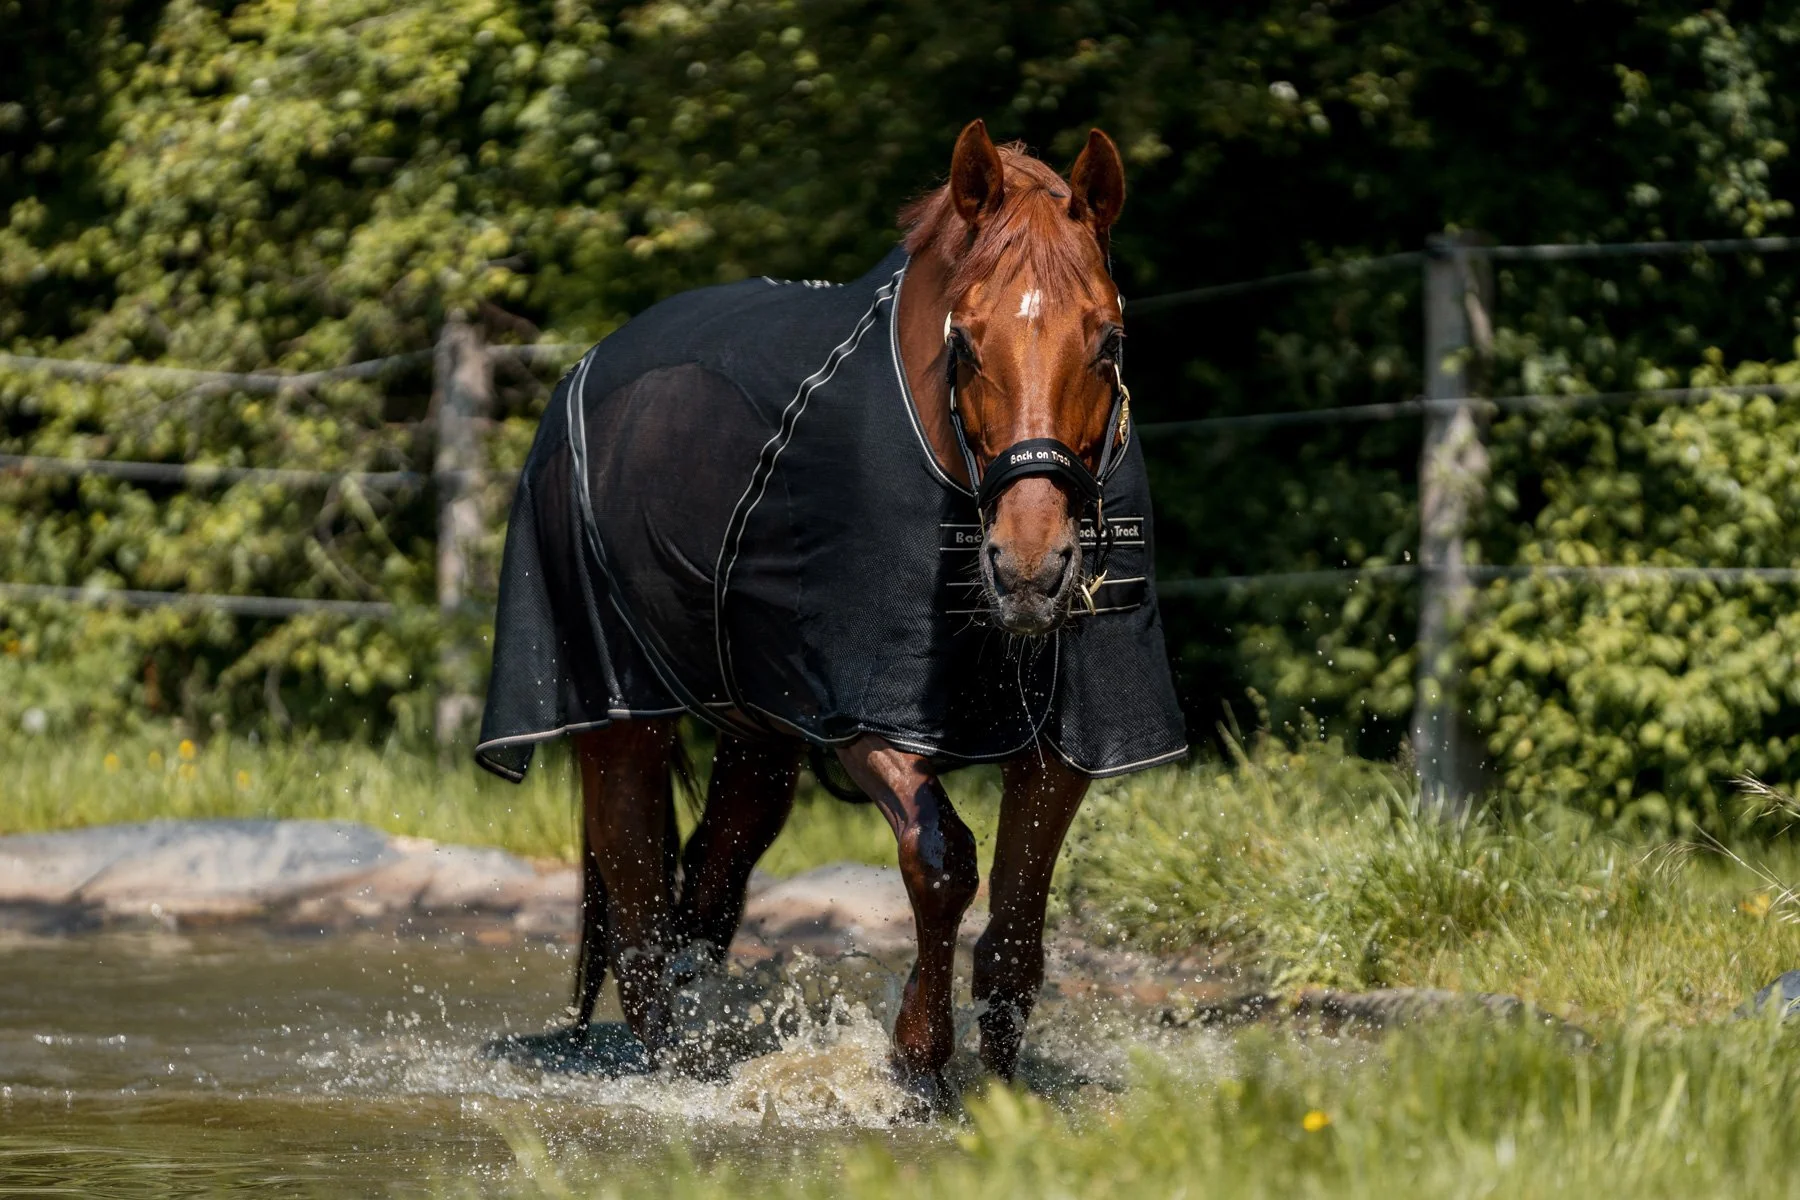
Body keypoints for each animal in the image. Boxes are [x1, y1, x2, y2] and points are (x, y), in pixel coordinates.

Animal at [475, 120, 1185, 1110]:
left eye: (1109, 342)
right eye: (966, 346)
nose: (1029, 570)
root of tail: (590, 363)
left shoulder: (1063, 747)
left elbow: (1014, 928)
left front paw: (999, 1091)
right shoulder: (864, 717)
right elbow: (945, 862)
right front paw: (917, 1063)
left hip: (760, 740)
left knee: (707, 890)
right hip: (621, 716)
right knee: (637, 907)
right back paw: (678, 1076)